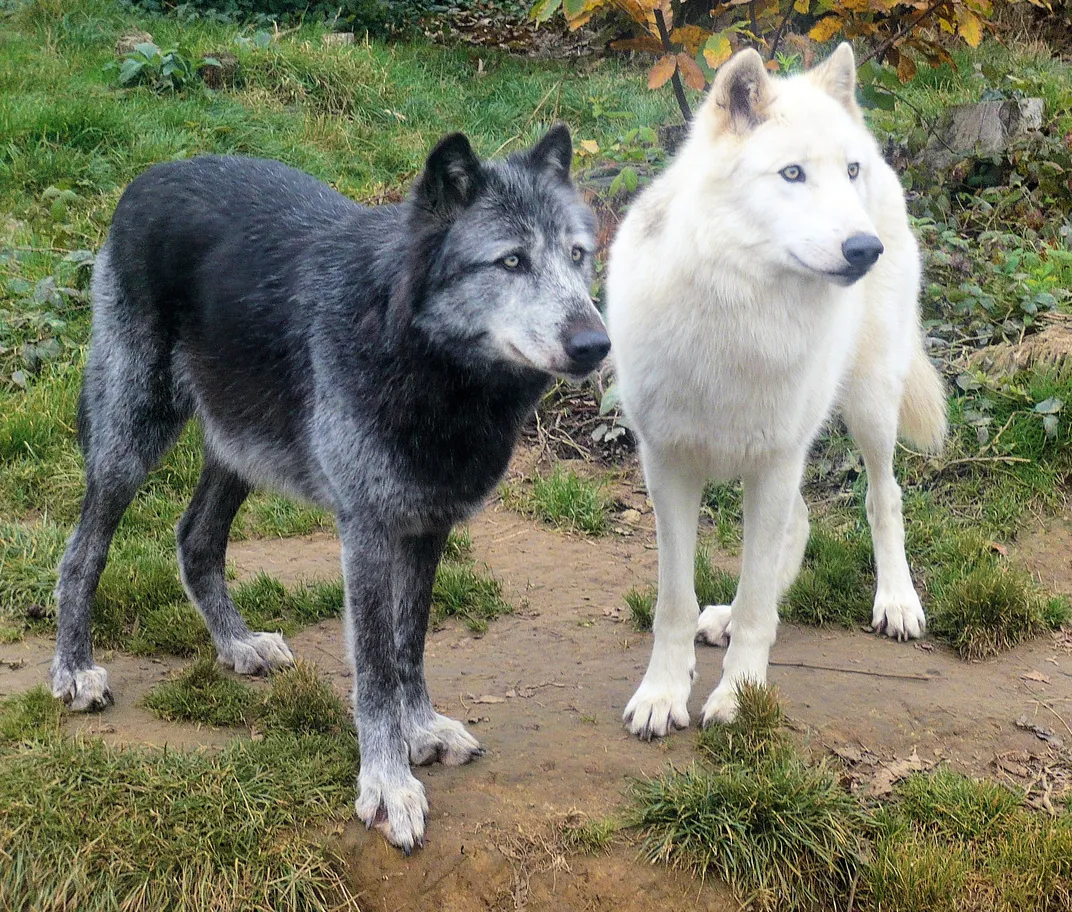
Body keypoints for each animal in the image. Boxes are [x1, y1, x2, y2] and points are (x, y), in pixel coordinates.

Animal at [49, 126, 609, 851]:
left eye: (578, 255)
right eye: (511, 261)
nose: (596, 343)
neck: (429, 368)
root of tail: (151, 175)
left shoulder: (427, 527)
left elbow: (408, 644)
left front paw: (419, 730)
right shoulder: (366, 532)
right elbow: (374, 667)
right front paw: (388, 784)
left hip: (241, 448)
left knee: (194, 538)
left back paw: (237, 645)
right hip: (131, 442)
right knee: (81, 554)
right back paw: (74, 670)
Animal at [606, 44, 947, 739]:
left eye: (846, 171)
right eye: (792, 174)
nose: (864, 248)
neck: (741, 312)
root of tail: (887, 162)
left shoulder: (775, 462)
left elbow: (761, 600)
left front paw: (739, 697)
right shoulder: (668, 469)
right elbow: (672, 603)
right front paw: (662, 694)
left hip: (868, 407)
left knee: (885, 497)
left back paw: (897, 602)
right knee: (804, 521)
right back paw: (722, 618)